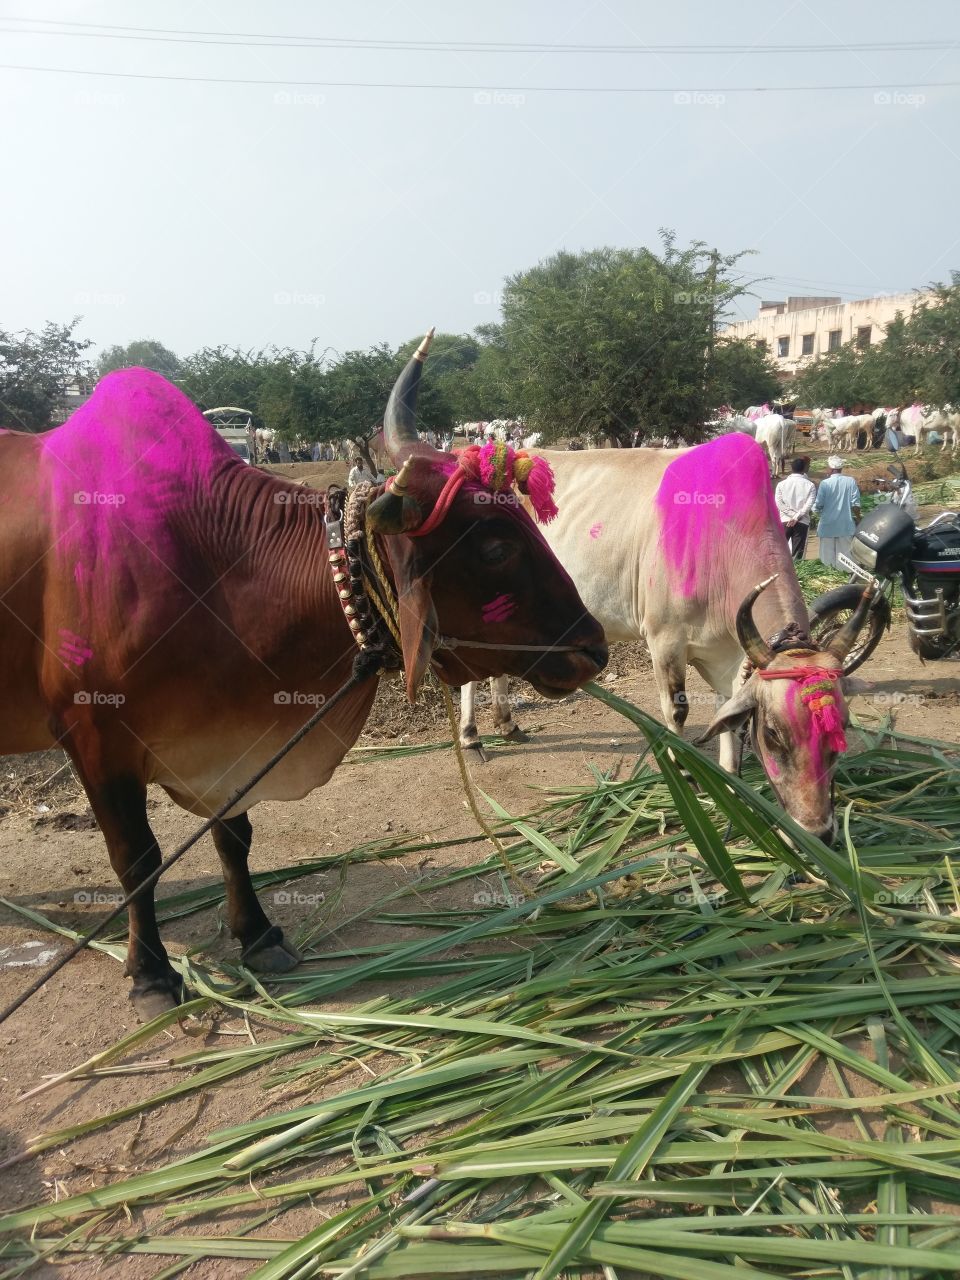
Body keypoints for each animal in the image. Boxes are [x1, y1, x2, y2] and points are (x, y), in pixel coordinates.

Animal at [0, 335, 606, 1020]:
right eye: (497, 546)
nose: (595, 648)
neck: (209, 566)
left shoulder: (234, 743)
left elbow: (234, 836)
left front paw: (259, 936)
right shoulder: (95, 737)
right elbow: (138, 860)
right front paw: (151, 974)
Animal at [459, 436, 874, 842]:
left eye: (842, 727)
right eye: (773, 733)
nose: (819, 833)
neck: (721, 541)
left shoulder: (730, 658)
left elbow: (728, 714)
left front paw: (731, 784)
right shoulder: (664, 639)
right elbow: (677, 710)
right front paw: (685, 776)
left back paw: (507, 725)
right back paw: (471, 738)